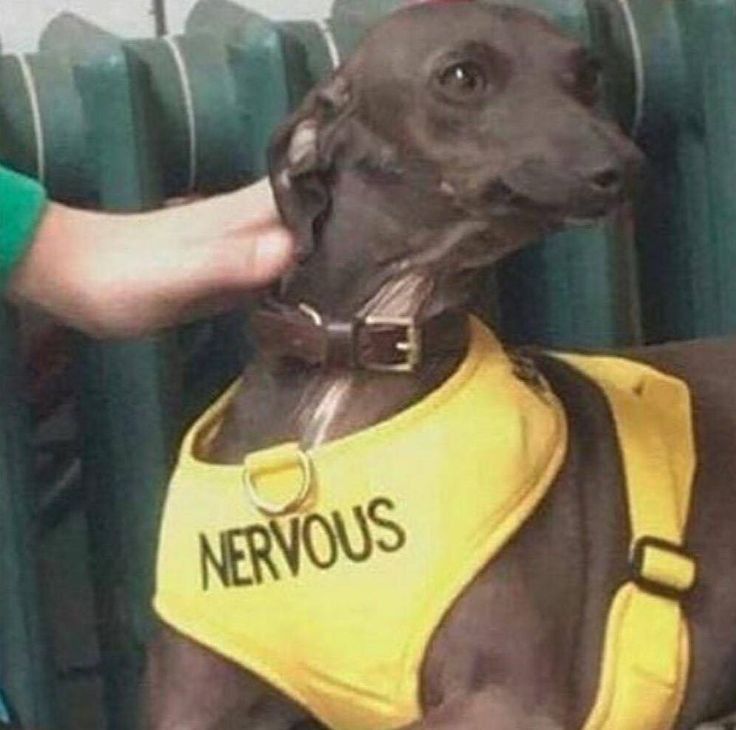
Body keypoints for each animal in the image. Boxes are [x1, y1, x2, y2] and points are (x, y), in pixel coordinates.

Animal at [144, 3, 736, 729]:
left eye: (588, 74)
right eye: (461, 76)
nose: (627, 165)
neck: (352, 362)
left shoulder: (508, 699)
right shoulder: (191, 701)